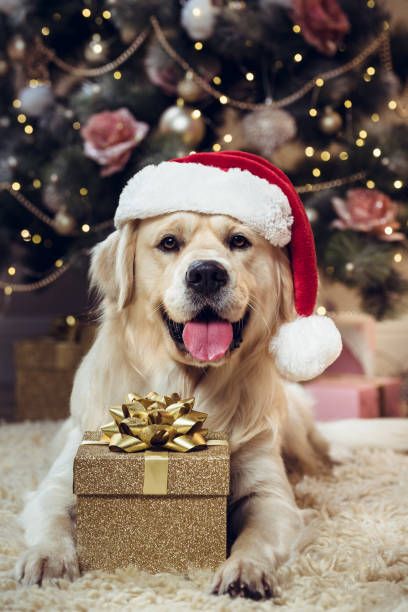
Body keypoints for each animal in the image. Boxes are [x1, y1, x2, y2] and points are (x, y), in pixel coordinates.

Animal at [15, 209, 332, 596]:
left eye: (239, 241)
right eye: (169, 243)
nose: (207, 274)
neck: (185, 383)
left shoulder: (271, 495)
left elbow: (256, 537)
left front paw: (245, 570)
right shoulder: (57, 484)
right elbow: (54, 520)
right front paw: (48, 558)